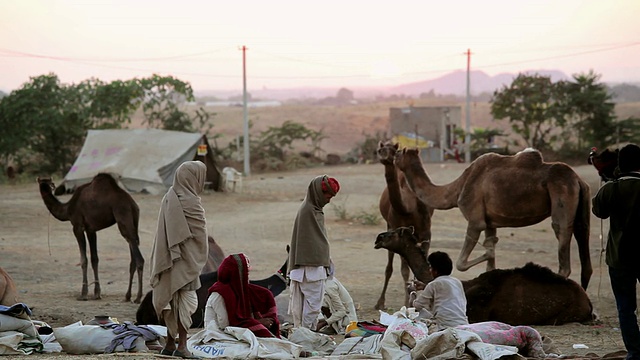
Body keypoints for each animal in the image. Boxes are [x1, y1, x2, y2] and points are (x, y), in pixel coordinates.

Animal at [36, 173, 145, 302]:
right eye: (44, 182)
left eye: (49, 183)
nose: (45, 186)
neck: (67, 209)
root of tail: (132, 204)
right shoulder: (91, 230)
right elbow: (94, 259)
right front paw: (97, 293)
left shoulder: (77, 226)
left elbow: (84, 260)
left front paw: (83, 294)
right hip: (133, 222)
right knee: (132, 255)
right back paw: (127, 296)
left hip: (123, 216)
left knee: (139, 258)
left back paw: (138, 297)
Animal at [376, 141, 436, 310]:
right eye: (380, 149)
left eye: (393, 150)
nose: (384, 154)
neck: (409, 206)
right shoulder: (396, 229)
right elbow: (404, 270)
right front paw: (406, 302)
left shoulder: (426, 232)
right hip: (388, 225)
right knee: (389, 267)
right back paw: (380, 302)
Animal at [396, 147, 596, 290]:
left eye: (397, 152)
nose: (389, 153)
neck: (457, 188)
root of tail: (578, 179)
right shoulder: (490, 223)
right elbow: (490, 258)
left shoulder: (475, 220)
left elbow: (461, 263)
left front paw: (489, 253)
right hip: (583, 201)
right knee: (583, 236)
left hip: (561, 194)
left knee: (561, 233)